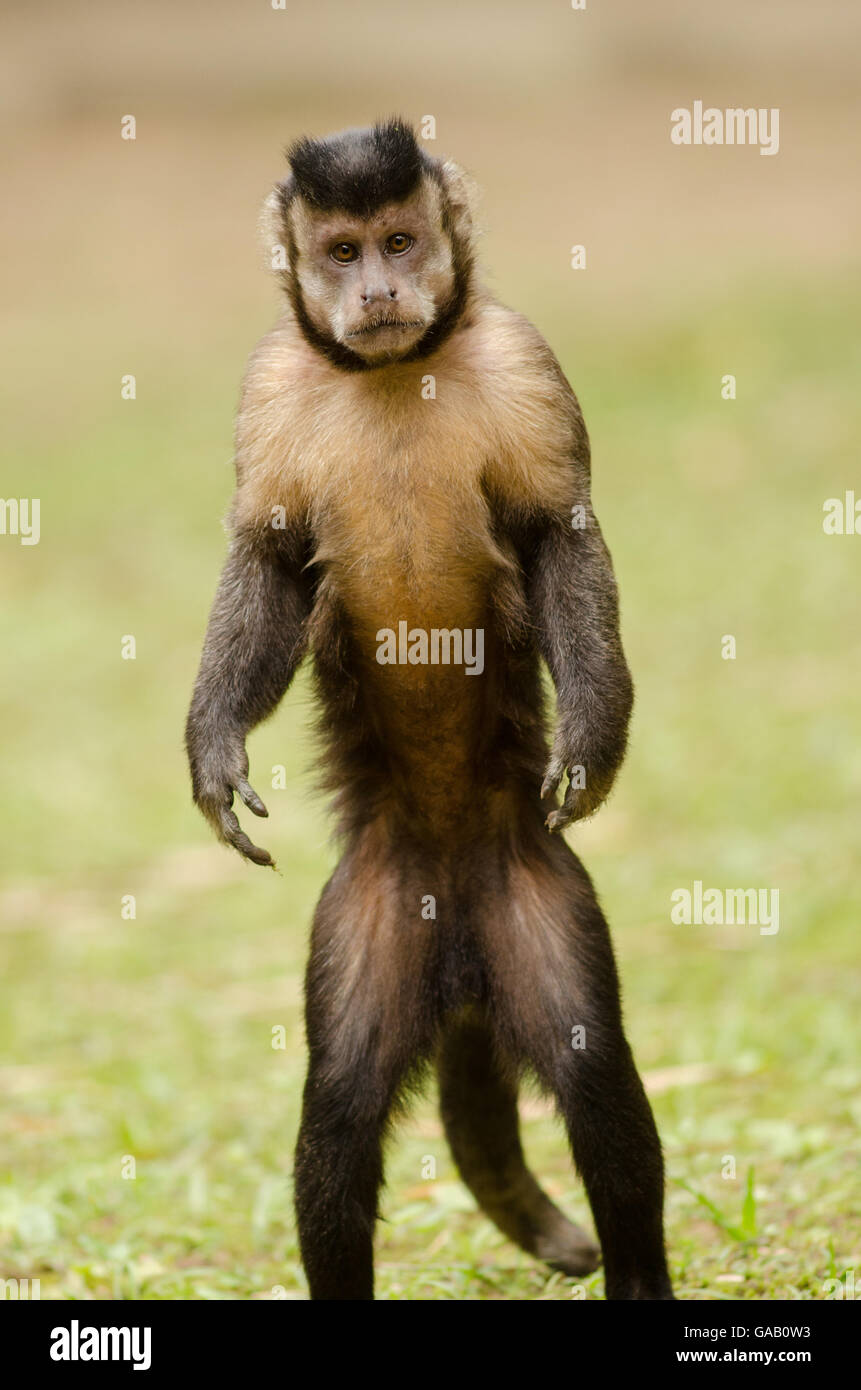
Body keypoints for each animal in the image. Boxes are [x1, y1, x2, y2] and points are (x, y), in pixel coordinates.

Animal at [186, 119, 673, 1301]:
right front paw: (211, 752)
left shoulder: (525, 360)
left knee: (598, 1085)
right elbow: (266, 562)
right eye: (343, 251)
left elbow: (561, 534)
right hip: (372, 909)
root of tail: (457, 944)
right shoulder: (269, 382)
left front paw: (593, 742)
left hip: (533, 896)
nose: (379, 289)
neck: (397, 368)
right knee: (337, 1113)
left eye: (401, 240)